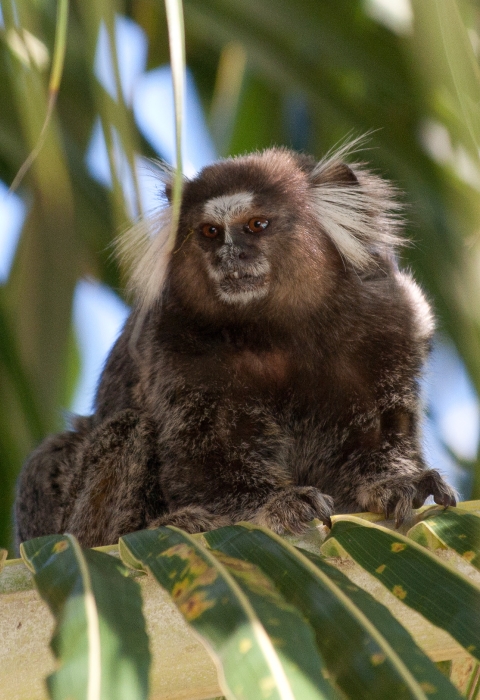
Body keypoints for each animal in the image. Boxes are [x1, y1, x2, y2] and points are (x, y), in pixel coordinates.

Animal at [14, 139, 457, 550]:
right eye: (210, 232)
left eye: (256, 224)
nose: (229, 256)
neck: (282, 331)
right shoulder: (173, 341)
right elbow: (204, 458)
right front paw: (278, 503)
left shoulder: (393, 318)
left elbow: (383, 432)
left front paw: (395, 483)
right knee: (118, 432)